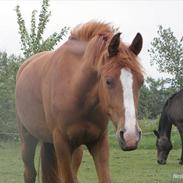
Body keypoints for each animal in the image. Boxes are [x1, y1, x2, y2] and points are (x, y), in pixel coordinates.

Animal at [15, 20, 144, 182]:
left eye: (141, 81)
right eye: (108, 81)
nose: (130, 136)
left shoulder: (99, 143)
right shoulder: (62, 144)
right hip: (28, 139)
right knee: (29, 172)